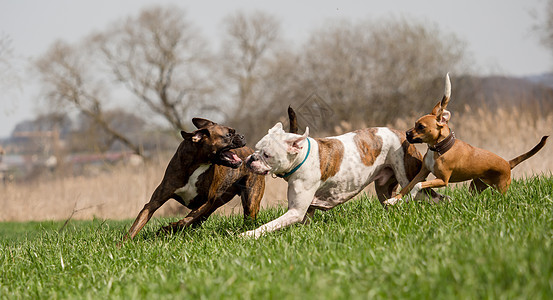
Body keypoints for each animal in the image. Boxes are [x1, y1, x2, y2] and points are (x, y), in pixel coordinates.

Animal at [120, 118, 266, 243]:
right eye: (228, 135)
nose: (242, 136)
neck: (198, 164)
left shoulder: (204, 203)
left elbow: (186, 220)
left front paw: (169, 228)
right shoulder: (155, 202)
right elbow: (138, 223)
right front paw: (123, 244)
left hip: (250, 202)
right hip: (217, 203)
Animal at [242, 116, 440, 238]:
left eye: (267, 155)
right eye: (256, 148)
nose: (251, 158)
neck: (302, 156)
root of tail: (404, 135)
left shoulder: (295, 212)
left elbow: (269, 225)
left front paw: (248, 235)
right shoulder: (305, 212)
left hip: (409, 180)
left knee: (435, 197)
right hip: (384, 190)